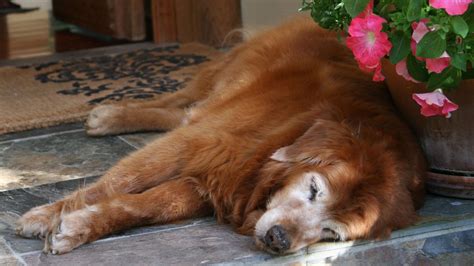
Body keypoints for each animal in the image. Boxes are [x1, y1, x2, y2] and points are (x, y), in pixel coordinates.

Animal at [15, 16, 426, 254]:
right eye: (313, 189)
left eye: (332, 234)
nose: (279, 240)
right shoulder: (189, 147)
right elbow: (114, 184)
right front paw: (45, 216)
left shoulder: (209, 183)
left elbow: (143, 206)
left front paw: (79, 226)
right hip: (229, 69)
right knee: (181, 101)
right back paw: (113, 114)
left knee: (182, 113)